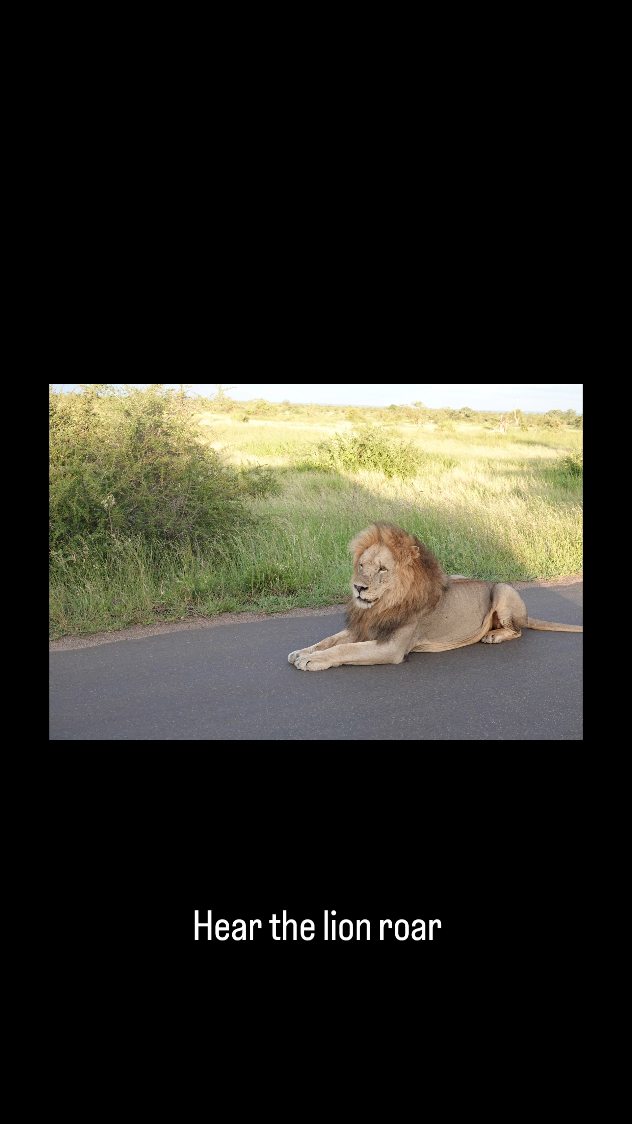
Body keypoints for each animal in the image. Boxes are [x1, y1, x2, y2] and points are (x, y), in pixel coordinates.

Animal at [288, 522, 582, 671]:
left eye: (382, 569)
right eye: (361, 565)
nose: (358, 587)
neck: (382, 605)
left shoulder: (391, 647)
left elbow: (345, 648)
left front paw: (312, 660)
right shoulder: (365, 628)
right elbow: (330, 640)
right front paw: (302, 652)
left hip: (503, 589)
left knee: (517, 630)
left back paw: (493, 635)